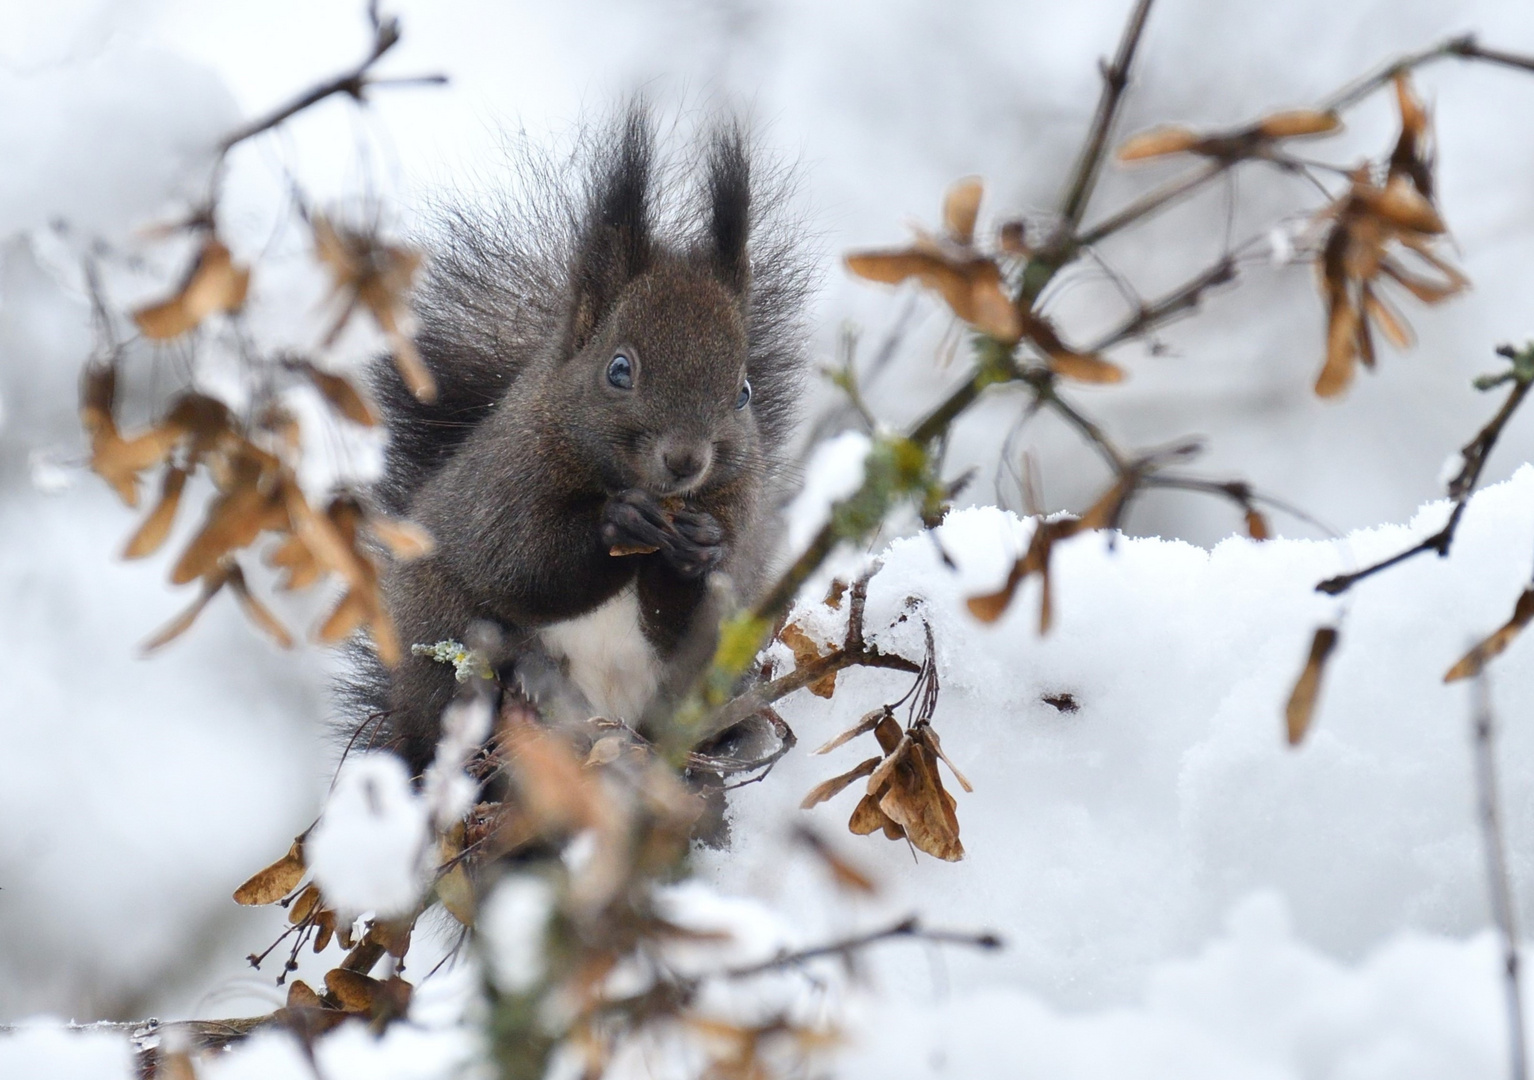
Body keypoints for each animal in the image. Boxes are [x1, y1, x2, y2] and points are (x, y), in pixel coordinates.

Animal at [351, 105, 816, 773]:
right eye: (619, 370)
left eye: (744, 392)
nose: (686, 460)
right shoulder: (507, 478)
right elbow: (518, 563)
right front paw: (615, 522)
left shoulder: (740, 508)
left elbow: (705, 620)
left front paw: (698, 550)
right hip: (437, 624)